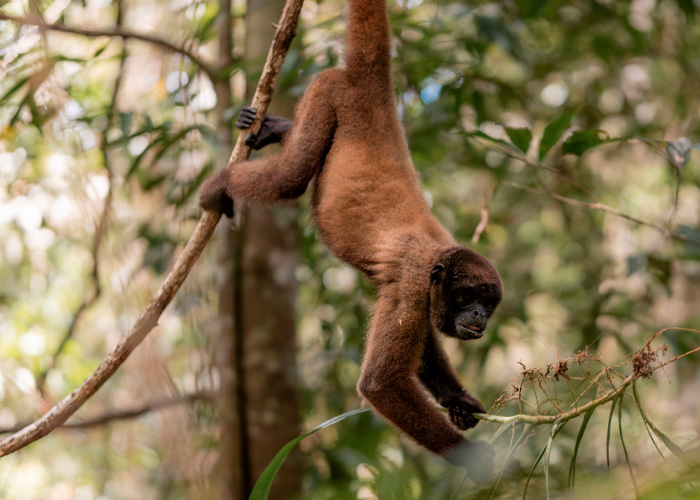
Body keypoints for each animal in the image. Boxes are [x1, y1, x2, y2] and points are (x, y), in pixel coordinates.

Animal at [199, 0, 502, 482]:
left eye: (488, 303)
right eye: (466, 296)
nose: (477, 315)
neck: (440, 256)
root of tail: (373, 87)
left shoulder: (424, 294)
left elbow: (423, 350)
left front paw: (457, 400)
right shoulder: (415, 284)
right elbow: (380, 384)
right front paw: (471, 456)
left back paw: (276, 126)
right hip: (330, 91)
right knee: (291, 176)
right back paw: (221, 184)